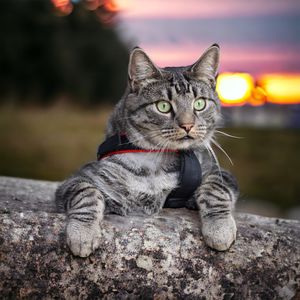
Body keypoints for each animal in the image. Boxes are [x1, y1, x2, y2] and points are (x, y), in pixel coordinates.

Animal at [56, 44, 239, 258]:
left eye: (200, 103)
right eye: (163, 106)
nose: (187, 125)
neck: (156, 162)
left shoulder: (219, 173)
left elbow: (215, 191)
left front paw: (220, 229)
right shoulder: (79, 179)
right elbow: (86, 194)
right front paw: (82, 234)